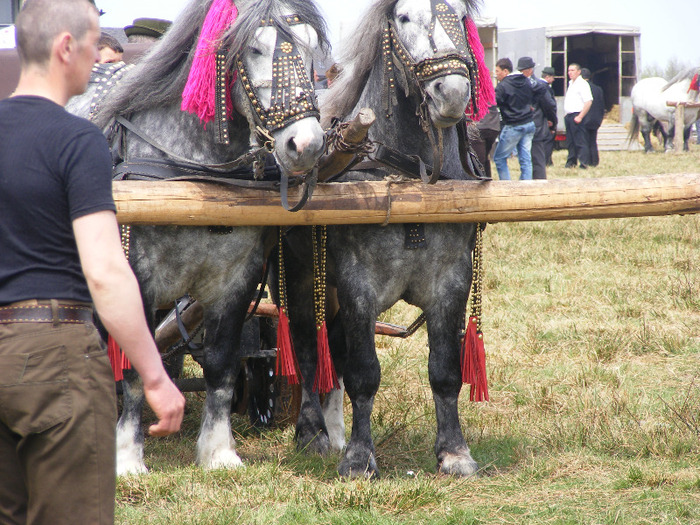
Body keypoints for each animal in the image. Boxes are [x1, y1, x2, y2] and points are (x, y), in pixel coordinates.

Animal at [67, 0, 328, 474]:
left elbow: (222, 366)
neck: (194, 178)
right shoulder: (135, 278)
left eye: (309, 47)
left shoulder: (236, 281)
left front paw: (219, 451)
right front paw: (127, 457)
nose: (307, 144)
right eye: (256, 49)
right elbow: (135, 367)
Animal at [282, 0, 490, 476]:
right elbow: (363, 372)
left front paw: (454, 451)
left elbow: (445, 371)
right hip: (301, 277)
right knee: (307, 348)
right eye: (404, 18)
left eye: (459, 16)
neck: (412, 176)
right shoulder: (358, 285)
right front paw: (360, 458)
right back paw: (313, 432)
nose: (451, 92)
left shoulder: (451, 281)